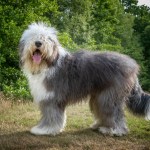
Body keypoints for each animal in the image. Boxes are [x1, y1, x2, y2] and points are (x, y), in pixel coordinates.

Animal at [19, 22, 150, 136]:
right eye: (33, 36)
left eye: (47, 38)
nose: (38, 43)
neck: (48, 64)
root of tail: (132, 66)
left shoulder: (51, 98)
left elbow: (51, 115)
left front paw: (44, 130)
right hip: (99, 95)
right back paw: (100, 125)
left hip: (110, 96)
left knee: (115, 113)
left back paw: (115, 130)